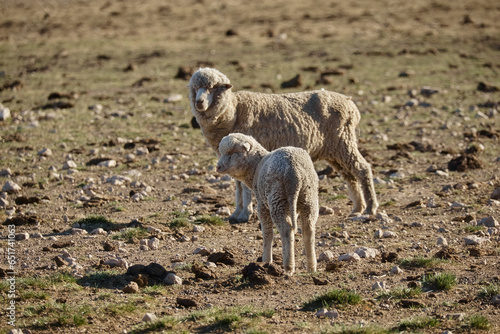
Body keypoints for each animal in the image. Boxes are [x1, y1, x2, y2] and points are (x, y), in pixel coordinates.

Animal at [189, 67, 376, 222]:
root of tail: (350, 103)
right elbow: (239, 186)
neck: (233, 111)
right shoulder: (232, 160)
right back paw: (358, 208)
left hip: (343, 141)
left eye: (212, 87)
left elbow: (245, 188)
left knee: (362, 169)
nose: (199, 103)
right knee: (350, 175)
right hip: (334, 150)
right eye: (195, 88)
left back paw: (370, 208)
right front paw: (237, 212)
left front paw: (244, 214)